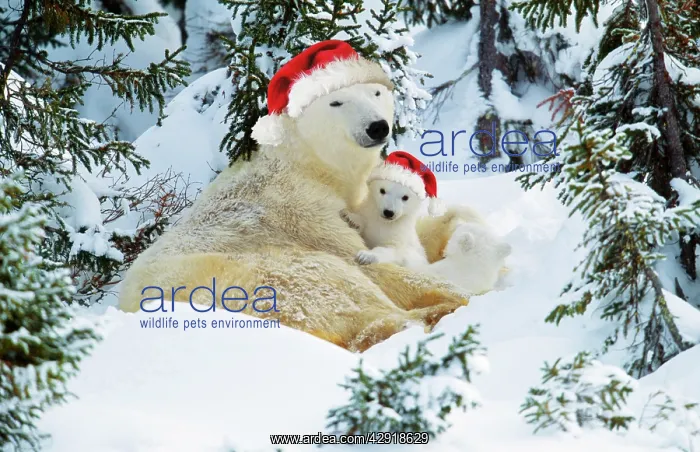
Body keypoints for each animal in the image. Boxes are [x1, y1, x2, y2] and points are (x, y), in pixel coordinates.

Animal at [118, 40, 477, 351]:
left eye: (375, 92)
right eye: (336, 102)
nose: (377, 127)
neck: (309, 165)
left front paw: (456, 223)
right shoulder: (302, 212)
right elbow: (368, 262)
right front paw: (463, 289)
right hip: (250, 277)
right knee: (333, 288)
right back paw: (432, 313)